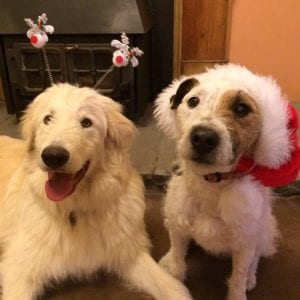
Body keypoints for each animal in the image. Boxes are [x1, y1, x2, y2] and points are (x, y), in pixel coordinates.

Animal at [0, 82, 192, 300]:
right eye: (47, 119)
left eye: (86, 123)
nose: (53, 156)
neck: (75, 210)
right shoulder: (18, 269)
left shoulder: (129, 252)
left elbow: (172, 287)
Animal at [155, 64, 300, 298]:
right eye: (192, 101)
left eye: (241, 109)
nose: (202, 137)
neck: (210, 185)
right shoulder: (178, 228)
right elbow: (177, 261)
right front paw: (173, 280)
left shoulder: (245, 244)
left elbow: (238, 278)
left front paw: (239, 288)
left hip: (263, 231)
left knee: (255, 259)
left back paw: (251, 277)